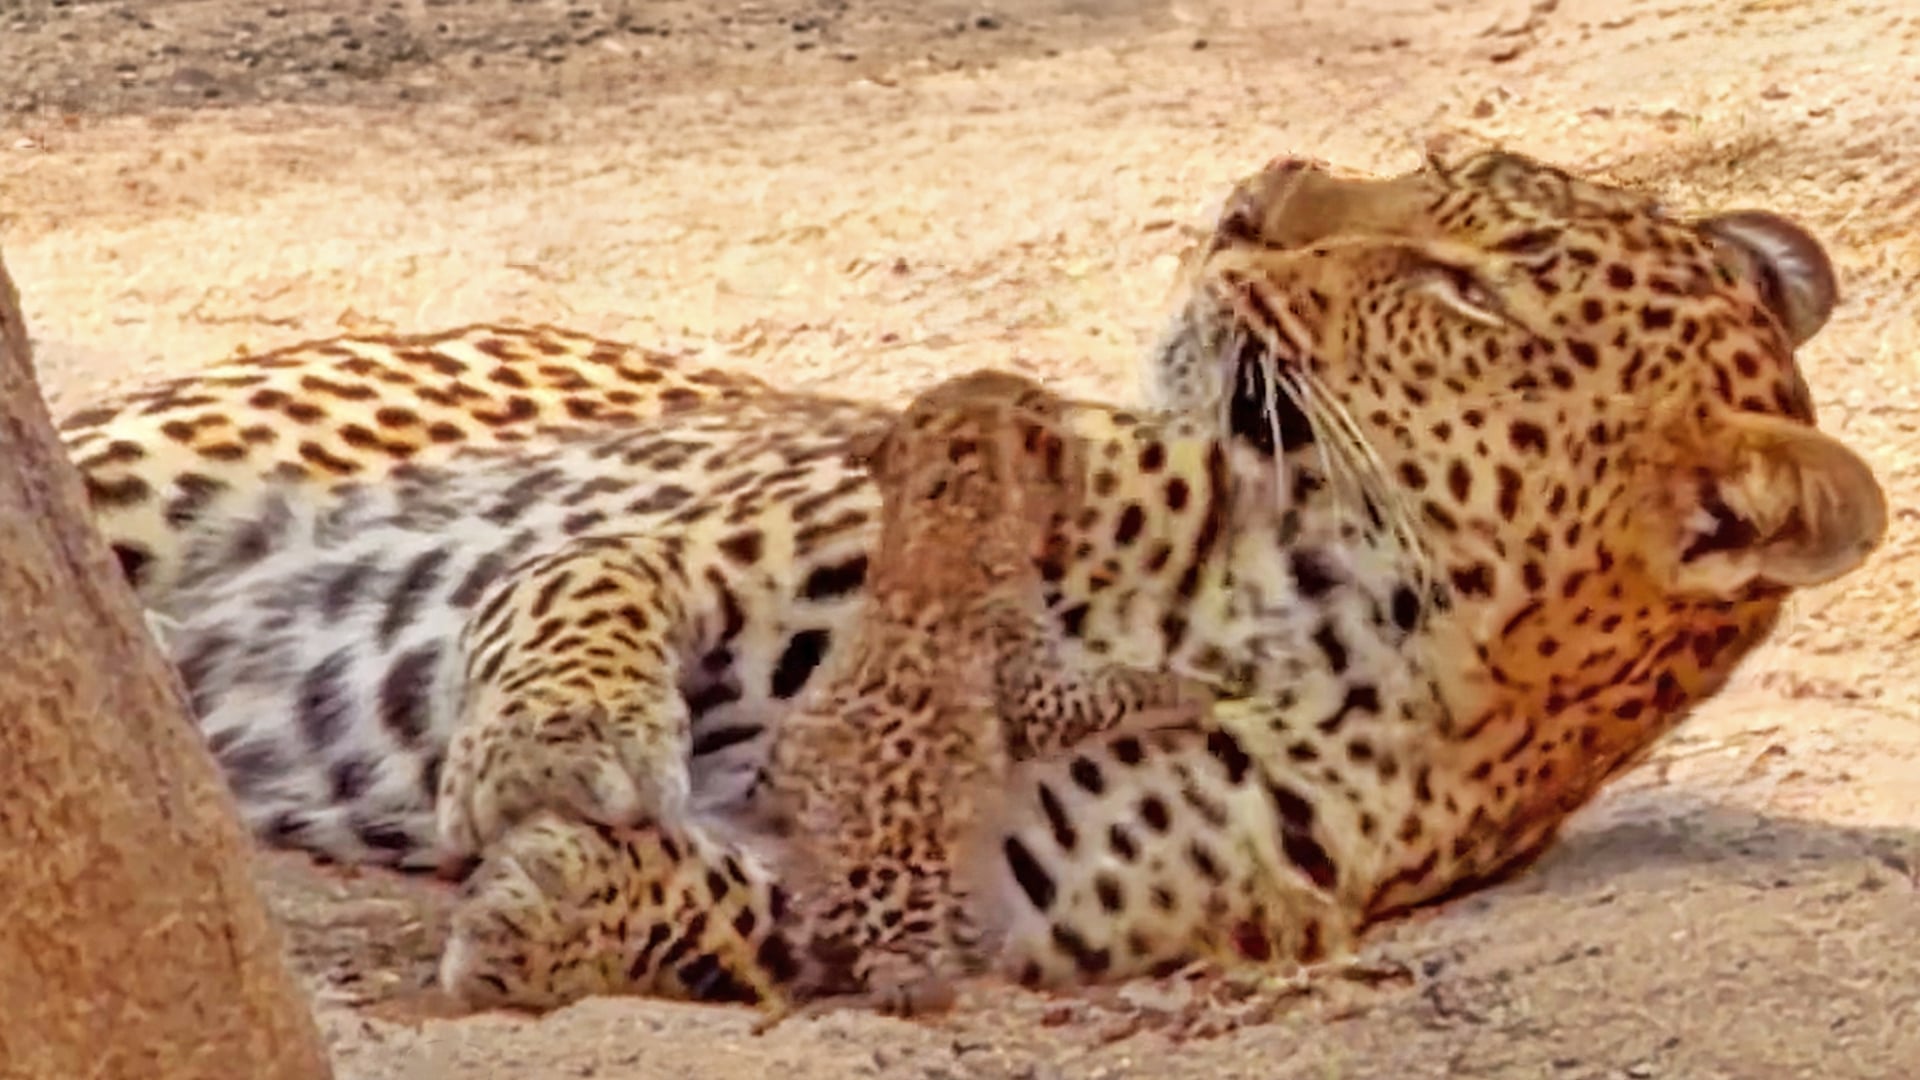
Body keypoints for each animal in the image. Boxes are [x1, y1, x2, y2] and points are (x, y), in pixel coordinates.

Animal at [54, 144, 1887, 1014]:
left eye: (1468, 287)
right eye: (1428, 166)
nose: (1249, 196)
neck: (1271, 588)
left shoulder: (962, 901)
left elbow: (740, 909)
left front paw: (555, 900)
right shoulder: (713, 526)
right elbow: (586, 587)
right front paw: (551, 756)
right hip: (141, 479)